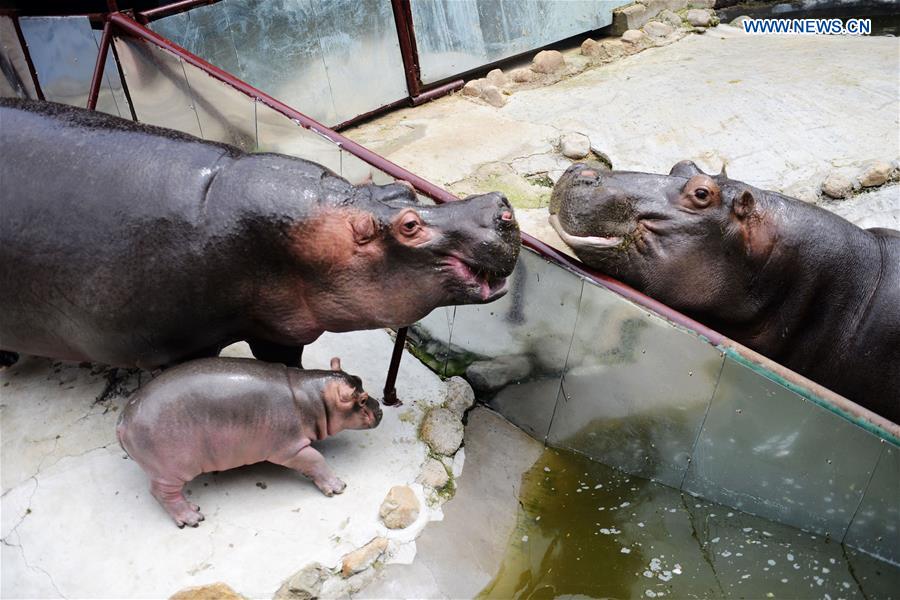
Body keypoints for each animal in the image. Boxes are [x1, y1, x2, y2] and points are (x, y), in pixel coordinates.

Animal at [0, 99, 520, 370]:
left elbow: (284, 362)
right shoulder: (172, 348)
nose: (499, 206)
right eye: (409, 226)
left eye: (404, 189)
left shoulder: (280, 326)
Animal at [117, 354, 380, 528]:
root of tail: (122, 421)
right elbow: (316, 460)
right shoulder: (290, 449)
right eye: (362, 400)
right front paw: (337, 486)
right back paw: (192, 516)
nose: (380, 409)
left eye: (359, 379)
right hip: (172, 468)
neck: (313, 397)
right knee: (161, 492)